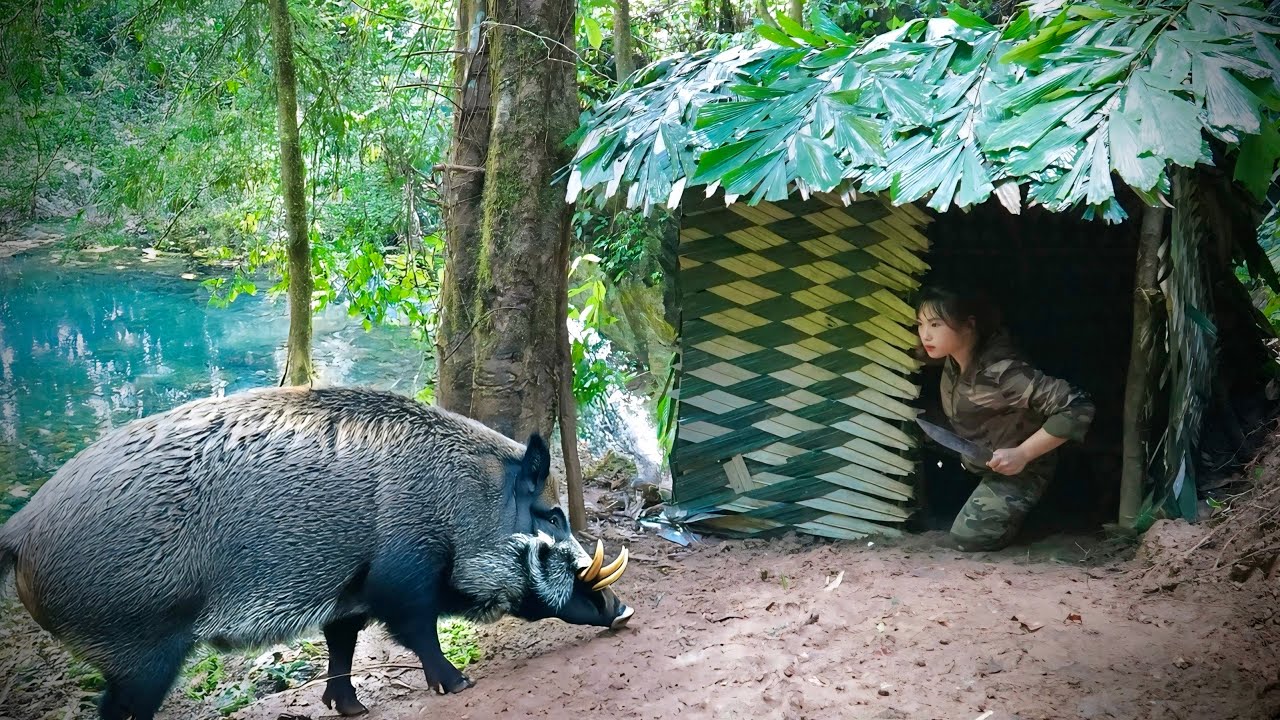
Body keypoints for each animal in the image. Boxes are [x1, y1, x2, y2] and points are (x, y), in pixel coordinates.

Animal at [0, 386, 633, 720]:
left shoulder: (348, 595)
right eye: (551, 516)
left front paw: (350, 709)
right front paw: (460, 686)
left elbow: (342, 646)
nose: (623, 609)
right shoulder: (401, 576)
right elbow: (418, 631)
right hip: (141, 649)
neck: (457, 503)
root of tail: (22, 529)